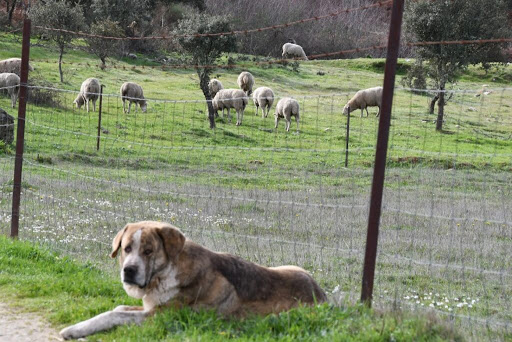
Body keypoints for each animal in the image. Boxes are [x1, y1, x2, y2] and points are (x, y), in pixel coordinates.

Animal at [59, 222, 324, 340]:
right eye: (126, 249)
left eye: (148, 251)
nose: (129, 270)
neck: (164, 274)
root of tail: (323, 296)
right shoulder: (151, 306)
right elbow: (118, 307)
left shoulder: (158, 316)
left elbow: (114, 314)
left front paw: (75, 329)